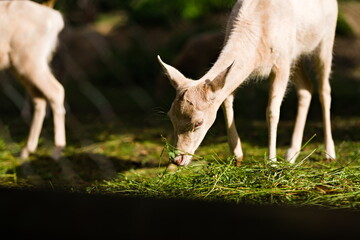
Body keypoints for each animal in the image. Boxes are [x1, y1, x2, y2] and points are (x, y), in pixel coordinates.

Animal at [0, 0, 65, 160]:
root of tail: (56, 18)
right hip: (20, 64)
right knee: (39, 98)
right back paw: (26, 150)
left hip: (30, 59)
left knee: (56, 90)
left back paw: (57, 151)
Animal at [158, 0, 338, 166]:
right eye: (170, 116)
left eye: (198, 122)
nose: (177, 159)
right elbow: (226, 101)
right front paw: (237, 156)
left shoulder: (281, 63)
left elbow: (272, 111)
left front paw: (271, 161)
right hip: (297, 56)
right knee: (306, 88)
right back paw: (291, 154)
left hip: (326, 38)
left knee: (324, 90)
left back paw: (329, 153)